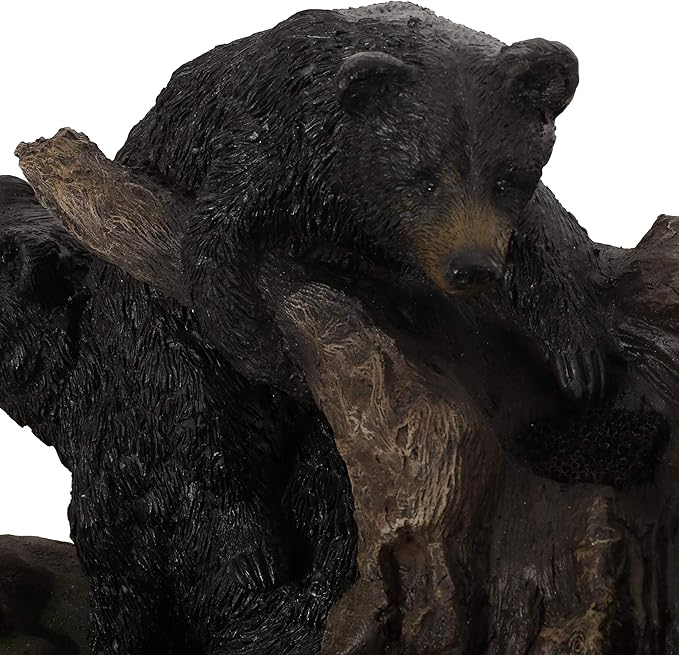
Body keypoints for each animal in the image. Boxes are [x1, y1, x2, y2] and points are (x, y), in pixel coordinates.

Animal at [115, 1, 608, 404]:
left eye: (504, 179)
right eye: (423, 179)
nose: (471, 266)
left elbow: (548, 231)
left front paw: (578, 358)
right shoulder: (271, 140)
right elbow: (215, 243)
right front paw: (280, 363)